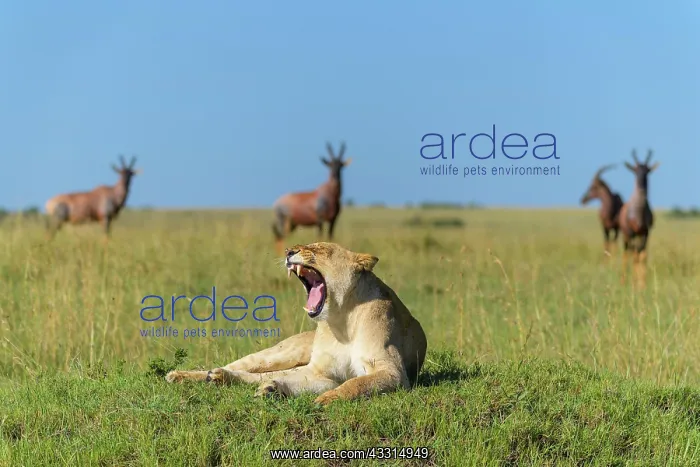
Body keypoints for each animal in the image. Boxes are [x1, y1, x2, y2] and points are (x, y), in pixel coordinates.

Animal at [165, 242, 428, 406]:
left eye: (320, 249)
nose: (289, 250)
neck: (341, 319)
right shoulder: (319, 371)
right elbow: (350, 382)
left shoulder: (390, 371)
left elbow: (356, 383)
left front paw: (326, 399)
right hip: (279, 354)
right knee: (243, 366)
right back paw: (187, 375)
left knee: (261, 375)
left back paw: (252, 384)